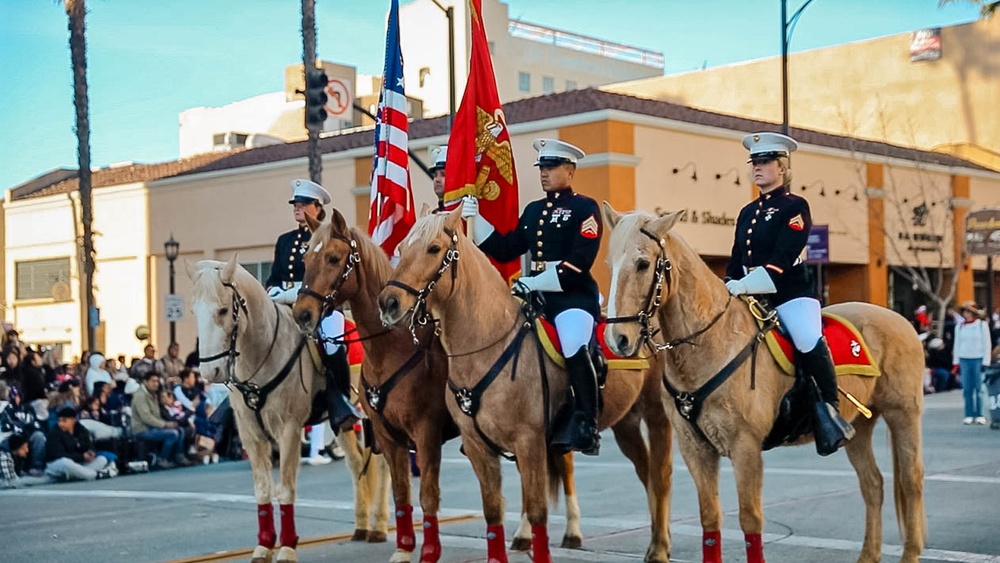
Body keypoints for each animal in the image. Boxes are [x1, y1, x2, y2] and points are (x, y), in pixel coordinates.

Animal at [188, 256, 390, 563]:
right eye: (194, 311)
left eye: (223, 309)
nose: (211, 372)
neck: (262, 355)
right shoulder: (251, 435)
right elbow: (262, 490)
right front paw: (263, 547)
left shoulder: (289, 430)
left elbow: (285, 489)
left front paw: (286, 548)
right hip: (342, 422)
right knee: (357, 464)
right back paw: (362, 525)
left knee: (381, 463)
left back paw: (378, 526)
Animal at [378, 207, 676, 563]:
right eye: (401, 247)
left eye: (433, 249)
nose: (389, 303)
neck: (486, 345)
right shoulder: (478, 447)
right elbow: (493, 510)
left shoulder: (529, 442)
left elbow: (537, 511)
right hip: (626, 423)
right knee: (646, 474)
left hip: (657, 417)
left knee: (661, 477)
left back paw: (660, 545)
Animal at [596, 204, 924, 563]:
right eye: (610, 265)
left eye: (642, 263)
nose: (617, 339)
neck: (710, 344)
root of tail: (898, 319)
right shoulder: (695, 448)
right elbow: (710, 518)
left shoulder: (746, 446)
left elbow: (750, 518)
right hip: (859, 426)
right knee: (873, 484)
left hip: (903, 415)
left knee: (911, 481)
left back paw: (910, 553)